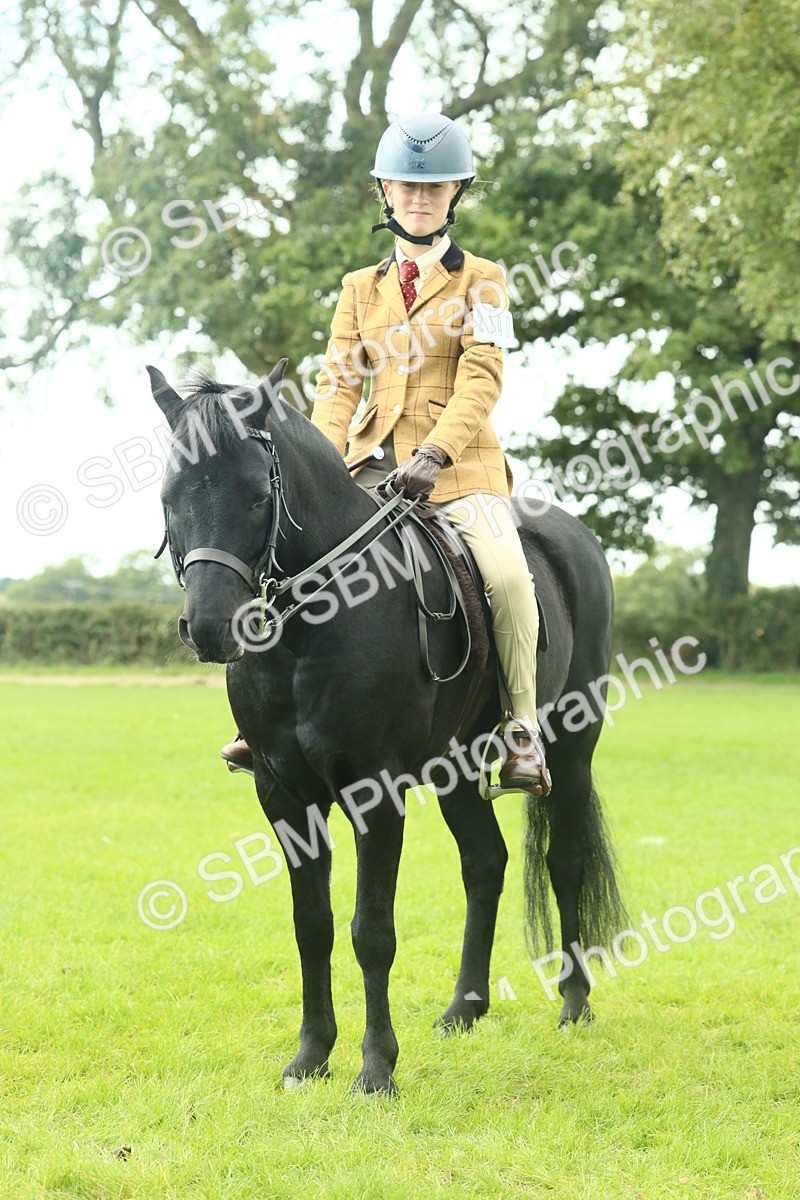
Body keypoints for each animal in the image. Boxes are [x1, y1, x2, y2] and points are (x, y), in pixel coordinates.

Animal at [148, 358, 626, 1096]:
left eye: (256, 496)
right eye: (171, 494)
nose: (209, 628)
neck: (312, 626)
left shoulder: (375, 794)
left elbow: (371, 930)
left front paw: (375, 1068)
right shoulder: (283, 795)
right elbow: (311, 926)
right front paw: (311, 1055)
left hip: (573, 750)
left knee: (563, 861)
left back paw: (574, 1003)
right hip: (455, 768)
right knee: (485, 864)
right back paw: (464, 1008)